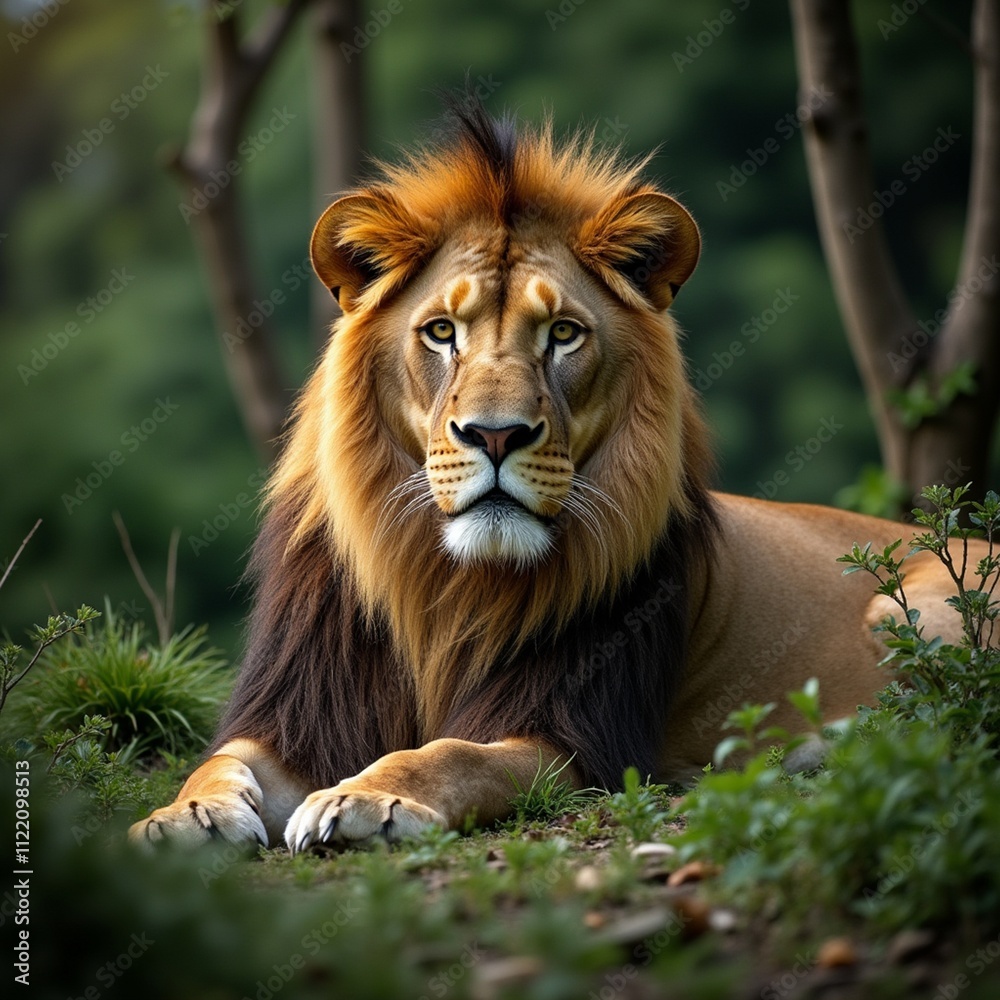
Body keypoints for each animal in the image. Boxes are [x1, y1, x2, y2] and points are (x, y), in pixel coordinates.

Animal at [130, 99, 983, 853]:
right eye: (441, 332)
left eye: (564, 335)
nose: (496, 434)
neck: (445, 587)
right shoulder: (299, 714)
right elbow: (219, 761)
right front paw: (180, 819)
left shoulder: (573, 738)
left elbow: (450, 755)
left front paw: (369, 796)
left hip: (907, 606)